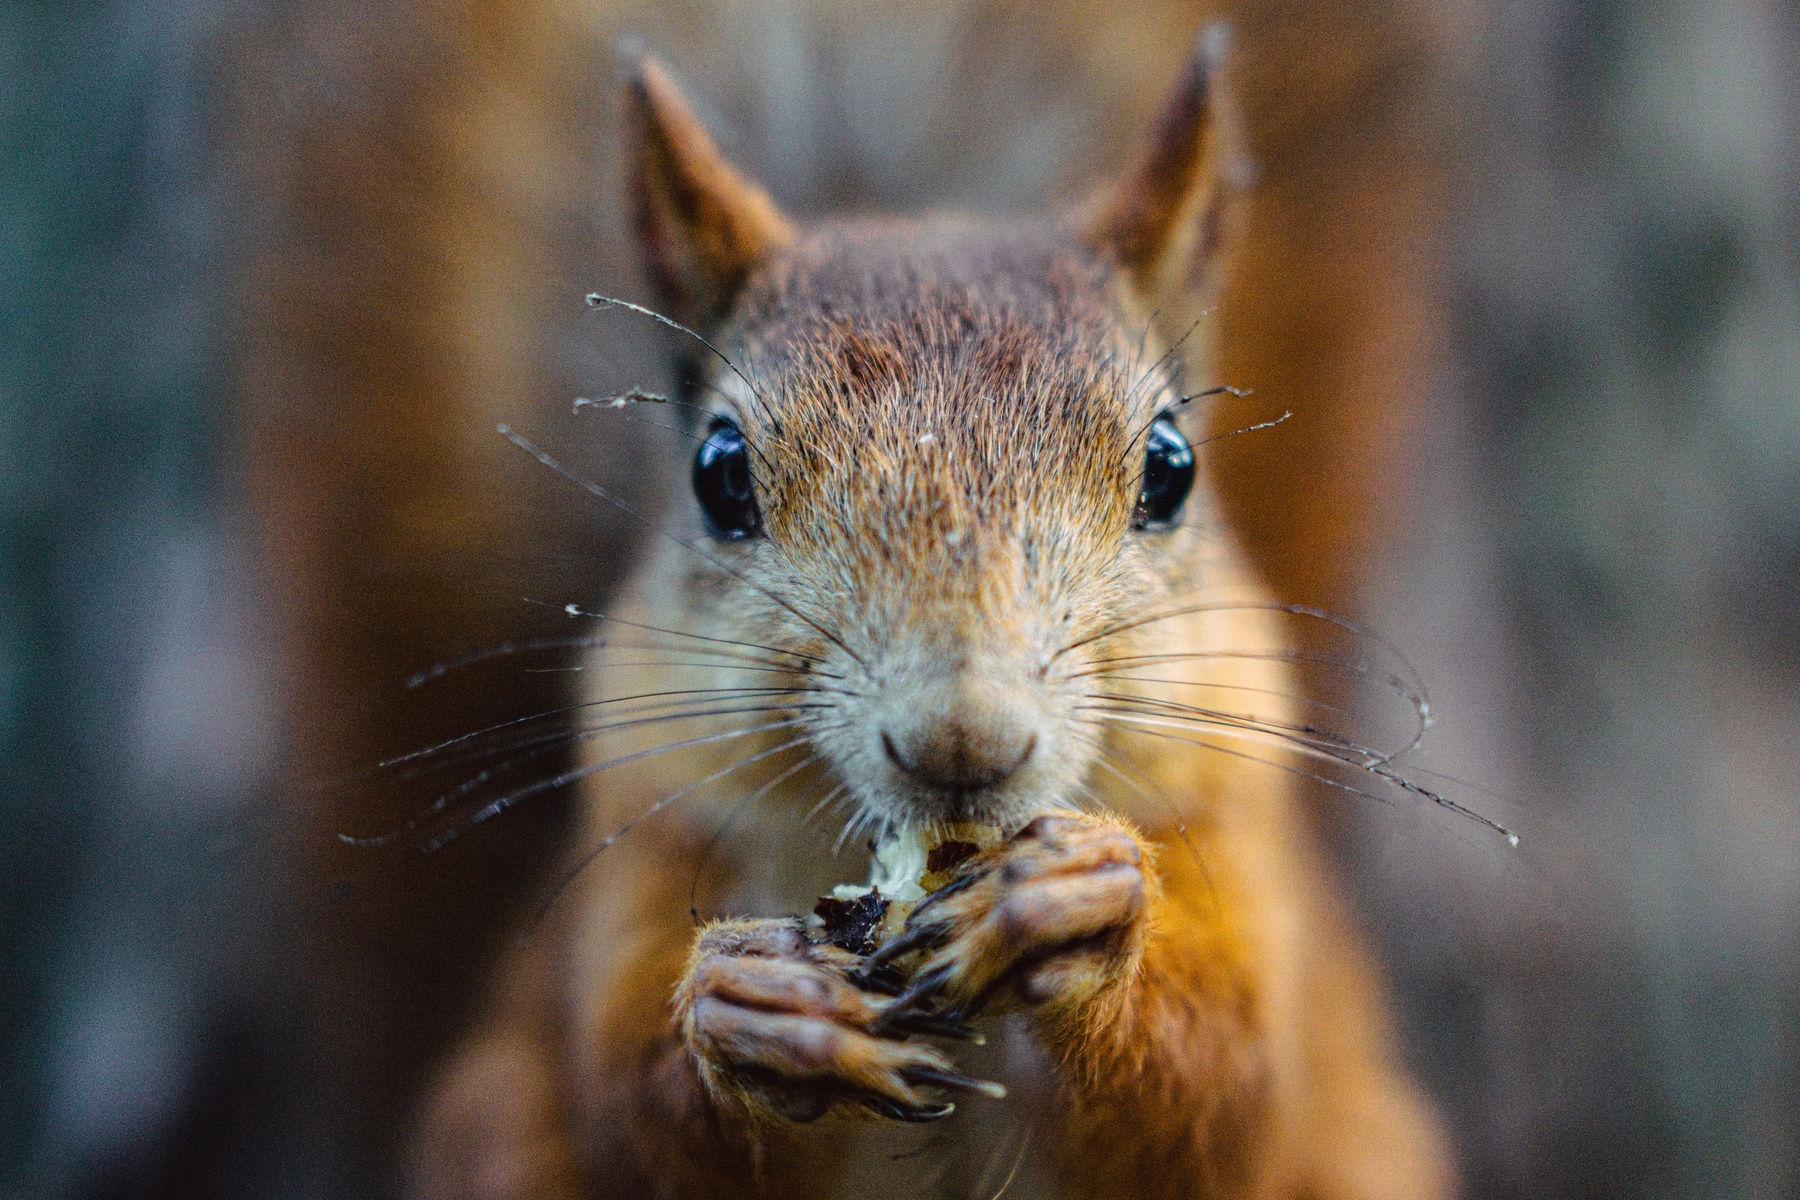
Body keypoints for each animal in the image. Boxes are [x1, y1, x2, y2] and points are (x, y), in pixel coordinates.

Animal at [402, 32, 1455, 1200]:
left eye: (1172, 468)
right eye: (717, 475)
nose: (964, 740)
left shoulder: (1238, 841)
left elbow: (1225, 1092)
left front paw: (1075, 906)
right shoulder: (649, 840)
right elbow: (631, 1111)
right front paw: (754, 1010)